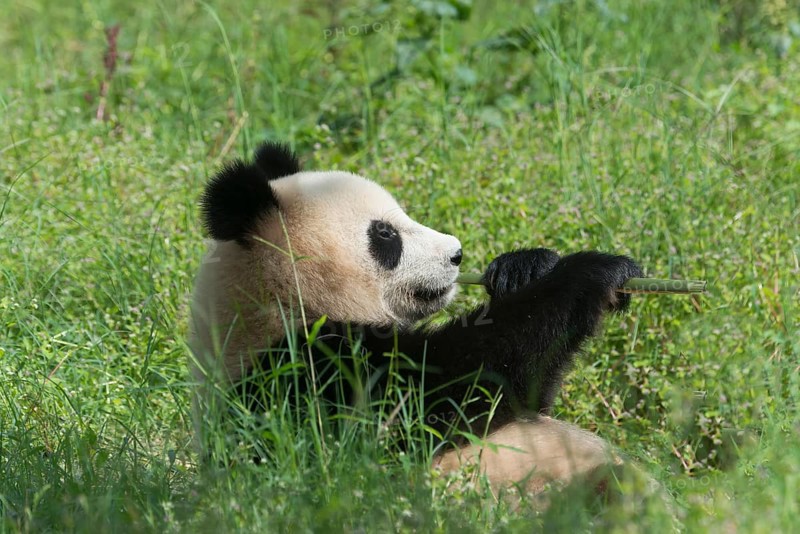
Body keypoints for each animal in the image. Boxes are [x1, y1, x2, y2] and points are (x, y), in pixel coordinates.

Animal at [188, 141, 643, 498]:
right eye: (385, 234)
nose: (456, 254)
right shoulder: (304, 375)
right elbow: (453, 387)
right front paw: (591, 272)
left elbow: (528, 396)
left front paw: (523, 267)